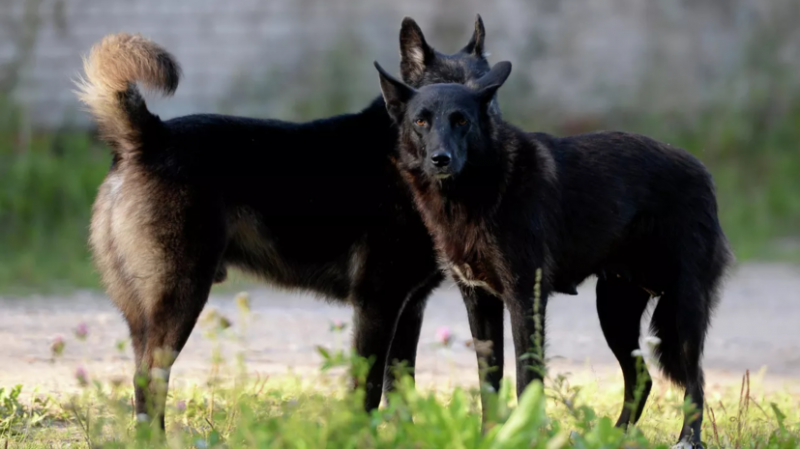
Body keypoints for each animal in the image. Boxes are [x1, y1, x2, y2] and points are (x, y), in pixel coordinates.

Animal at [75, 16, 500, 428]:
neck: (400, 157)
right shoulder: (377, 303)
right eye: (431, 114)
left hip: (144, 316)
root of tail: (149, 135)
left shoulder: (410, 308)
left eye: (487, 99)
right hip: (181, 298)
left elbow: (401, 392)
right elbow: (367, 391)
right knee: (149, 382)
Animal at [378, 60, 736, 448]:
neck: (477, 192)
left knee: (695, 382)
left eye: (461, 121)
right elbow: (489, 382)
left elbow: (526, 379)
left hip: (684, 308)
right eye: (421, 121)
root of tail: (701, 170)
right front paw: (490, 436)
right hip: (614, 313)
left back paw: (687, 438)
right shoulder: (479, 300)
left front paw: (526, 435)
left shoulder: (525, 300)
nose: (440, 159)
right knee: (641, 379)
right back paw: (613, 436)